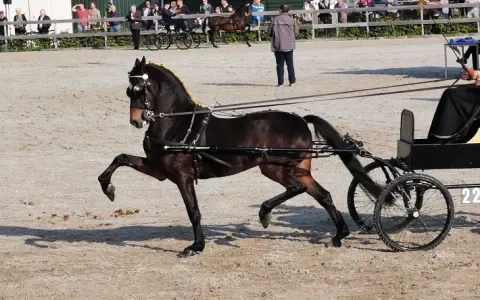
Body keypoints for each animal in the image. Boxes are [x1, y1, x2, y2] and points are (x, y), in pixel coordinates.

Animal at [96, 56, 382, 258]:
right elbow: (120, 158)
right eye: (128, 90)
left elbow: (193, 211)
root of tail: (301, 120)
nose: (136, 121)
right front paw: (108, 188)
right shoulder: (158, 170)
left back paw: (265, 214)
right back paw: (339, 235)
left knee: (297, 188)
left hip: (274, 168)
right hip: (298, 168)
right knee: (323, 195)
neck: (178, 123)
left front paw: (196, 246)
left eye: (139, 89)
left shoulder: (182, 176)